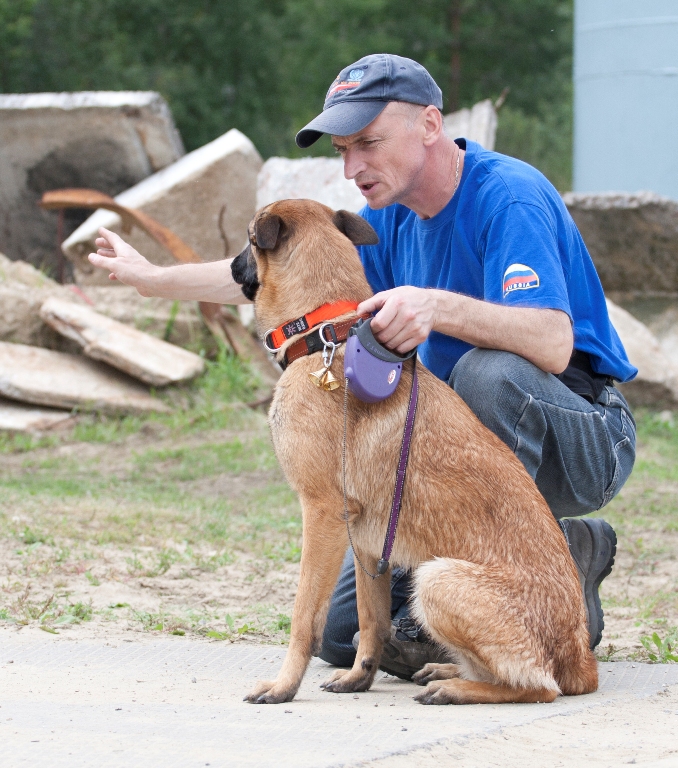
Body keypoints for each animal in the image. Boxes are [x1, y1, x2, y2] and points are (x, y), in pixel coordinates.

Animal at [234, 200, 600, 708]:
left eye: (248, 240)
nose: (230, 267)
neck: (328, 335)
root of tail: (581, 660)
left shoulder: (322, 514)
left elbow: (304, 617)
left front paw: (284, 685)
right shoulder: (365, 542)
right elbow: (371, 621)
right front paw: (359, 676)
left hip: (435, 579)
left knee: (537, 688)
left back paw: (455, 687)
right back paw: (446, 668)